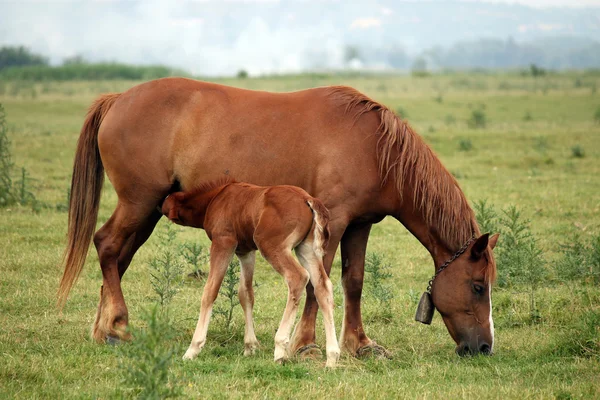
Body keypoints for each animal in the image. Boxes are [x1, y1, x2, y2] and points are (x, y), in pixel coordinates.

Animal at [159, 180, 340, 368]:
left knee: (297, 277)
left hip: (270, 245)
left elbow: (210, 291)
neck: (215, 199)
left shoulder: (224, 242)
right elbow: (246, 294)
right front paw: (250, 346)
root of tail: (308, 199)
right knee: (323, 287)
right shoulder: (245, 251)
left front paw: (193, 349)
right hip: (306, 249)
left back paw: (280, 348)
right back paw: (332, 357)